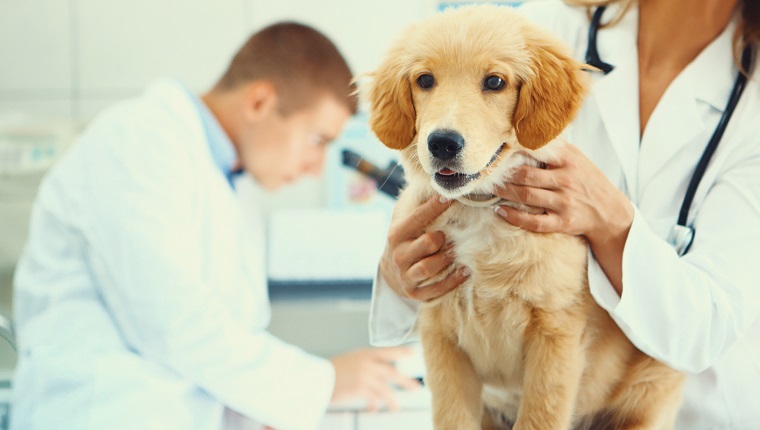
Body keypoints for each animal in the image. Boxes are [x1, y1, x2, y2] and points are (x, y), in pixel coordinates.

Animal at [360, 4, 684, 430]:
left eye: (495, 82)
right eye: (425, 80)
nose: (442, 143)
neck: (479, 209)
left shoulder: (556, 335)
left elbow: (540, 416)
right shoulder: (440, 337)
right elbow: (452, 416)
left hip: (653, 384)